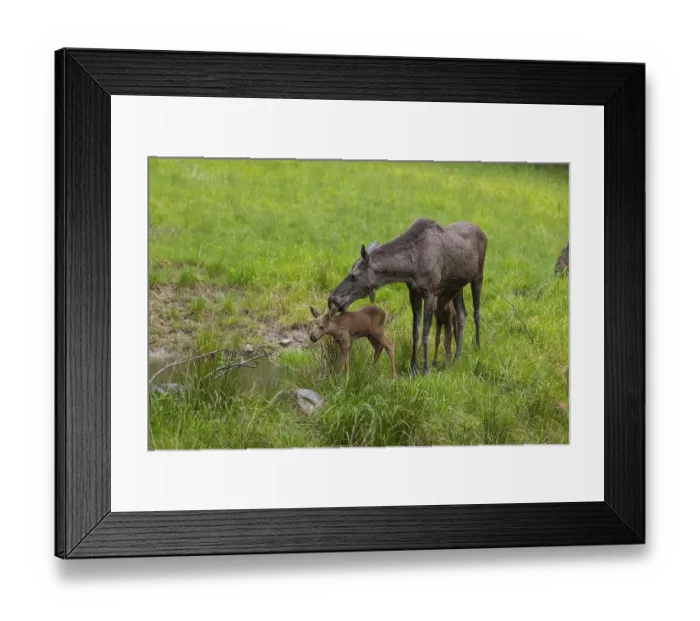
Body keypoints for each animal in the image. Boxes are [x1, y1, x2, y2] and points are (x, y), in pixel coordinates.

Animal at [328, 218, 487, 375]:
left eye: (353, 276)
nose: (332, 299)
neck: (410, 268)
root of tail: (483, 232)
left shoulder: (430, 292)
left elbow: (425, 333)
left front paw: (426, 369)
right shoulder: (414, 292)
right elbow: (415, 331)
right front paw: (413, 367)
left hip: (478, 275)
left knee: (477, 312)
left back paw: (477, 347)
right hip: (456, 287)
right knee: (462, 315)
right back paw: (456, 357)